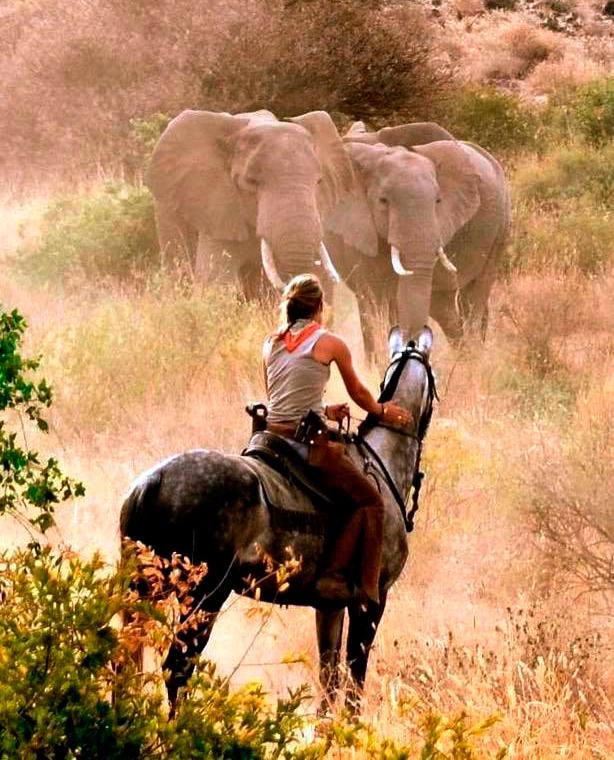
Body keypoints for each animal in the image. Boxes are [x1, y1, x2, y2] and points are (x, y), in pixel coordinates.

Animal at [119, 326, 438, 712]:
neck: (381, 461)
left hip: (144, 590)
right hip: (204, 596)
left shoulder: (330, 607)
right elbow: (354, 680)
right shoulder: (370, 603)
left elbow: (329, 680)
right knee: (176, 668)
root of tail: (154, 481)